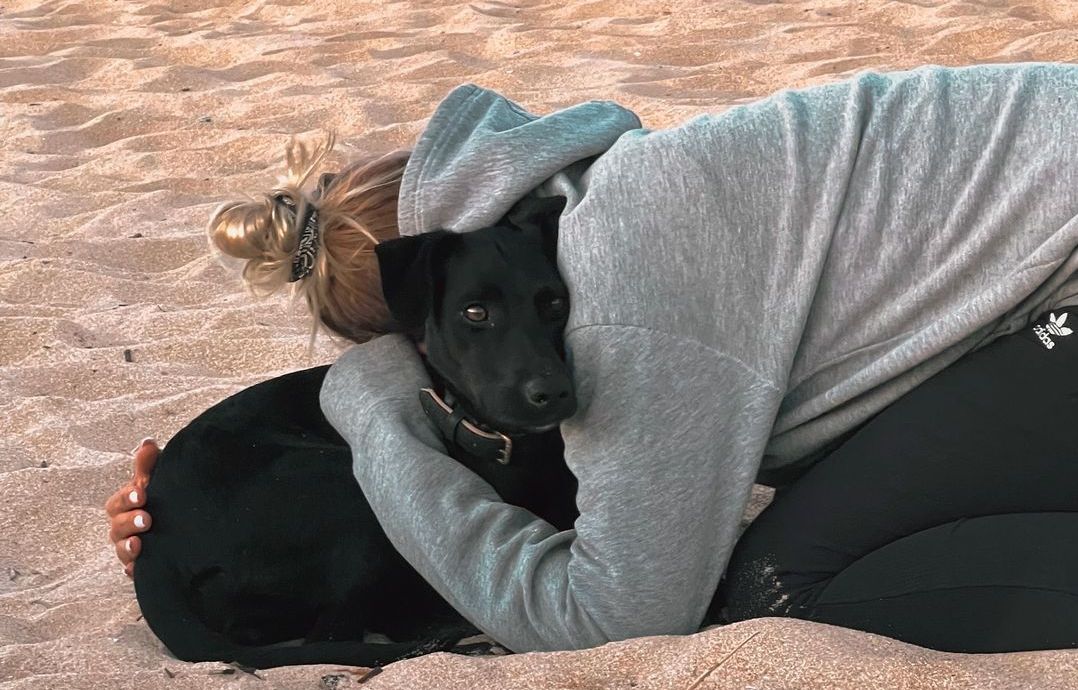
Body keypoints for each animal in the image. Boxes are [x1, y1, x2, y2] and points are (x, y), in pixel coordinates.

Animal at [134, 194, 582, 668]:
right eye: (475, 312)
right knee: (338, 633)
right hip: (350, 492)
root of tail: (156, 543)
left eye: (556, 304)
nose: (554, 392)